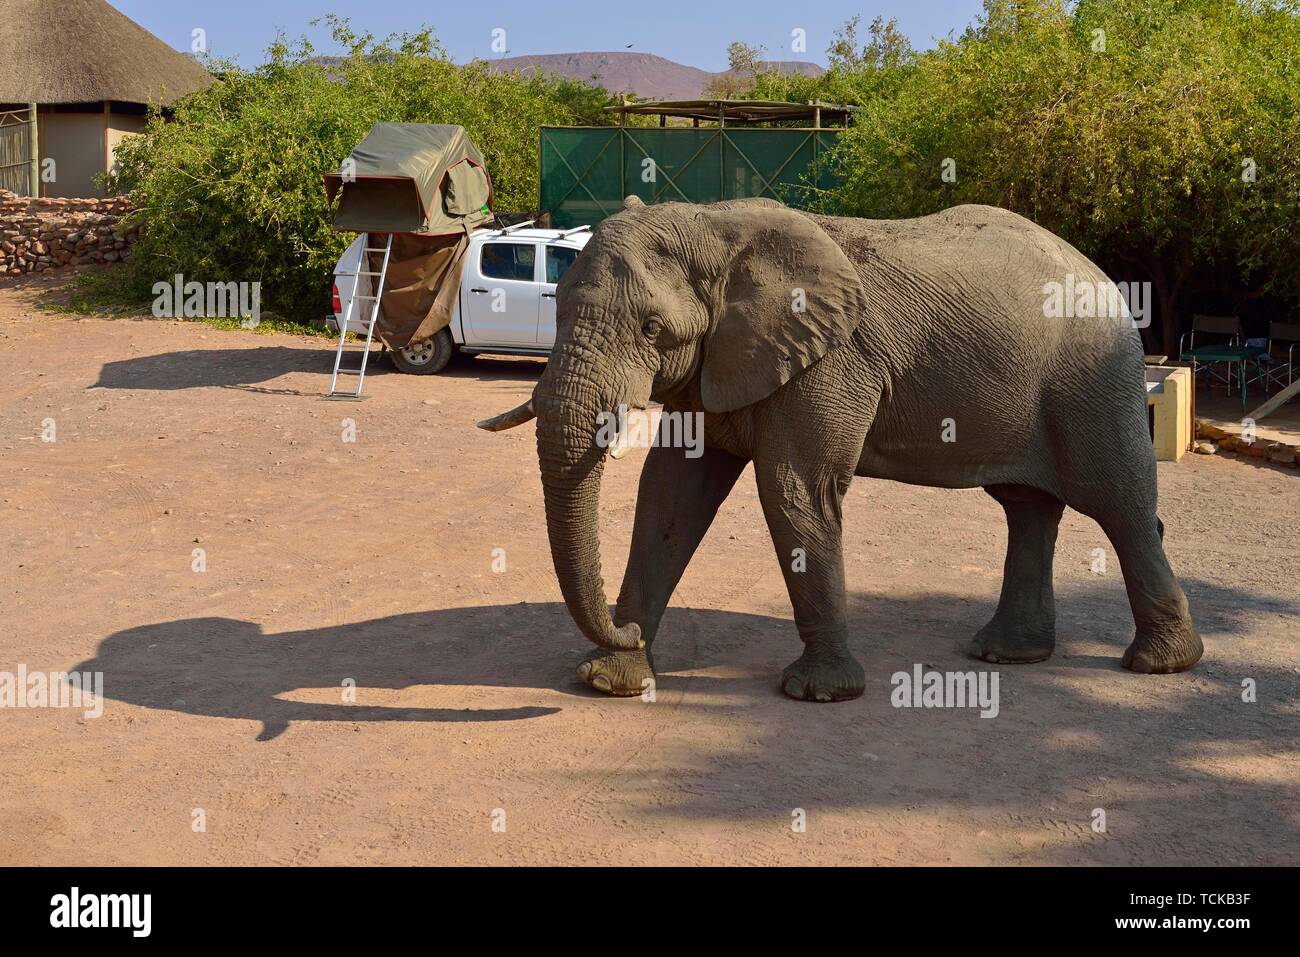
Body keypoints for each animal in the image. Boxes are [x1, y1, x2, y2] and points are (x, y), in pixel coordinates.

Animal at [480, 196, 1206, 702]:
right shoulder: (723, 358)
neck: (715, 227)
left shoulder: (831, 361)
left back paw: (1159, 663)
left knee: (1120, 505)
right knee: (1028, 508)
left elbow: (793, 490)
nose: (621, 627)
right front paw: (610, 678)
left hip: (1092, 379)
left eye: (653, 329)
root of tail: (1105, 277)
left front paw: (818, 693)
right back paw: (1005, 655)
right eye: (557, 307)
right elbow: (671, 493)